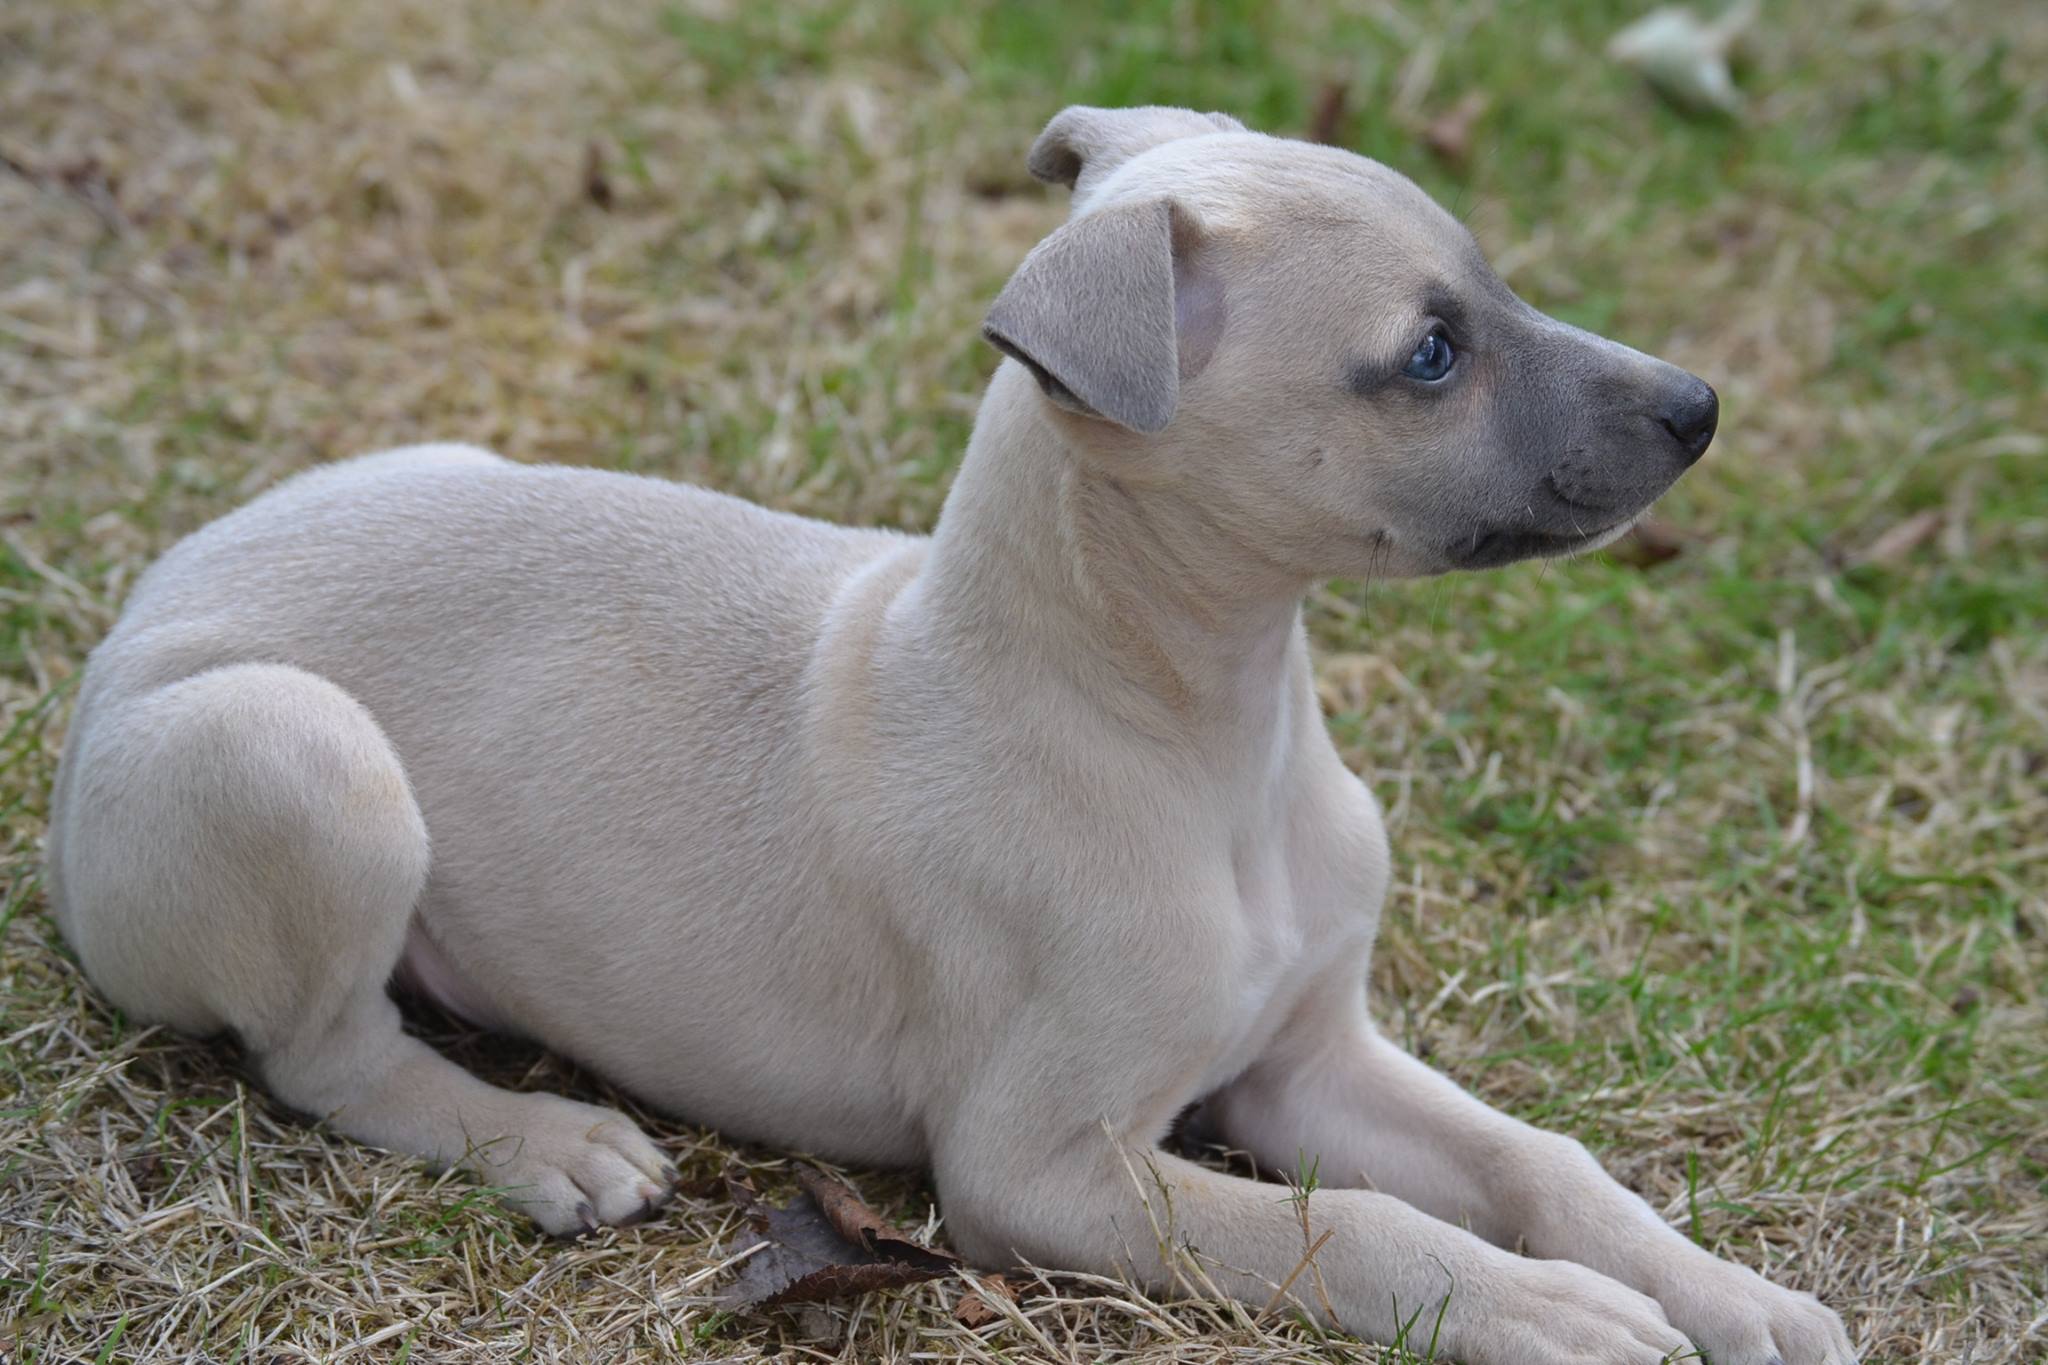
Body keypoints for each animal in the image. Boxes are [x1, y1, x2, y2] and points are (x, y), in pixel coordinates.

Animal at [48, 109, 1851, 1365]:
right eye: (1425, 353)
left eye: (1489, 288)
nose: (1697, 407)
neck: (1209, 746)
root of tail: (131, 623)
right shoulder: (1035, 1170)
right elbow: (1351, 1229)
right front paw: (1550, 1313)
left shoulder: (1308, 1058)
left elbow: (1537, 1159)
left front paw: (1722, 1291)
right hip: (294, 751)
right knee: (326, 1054)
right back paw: (545, 1141)